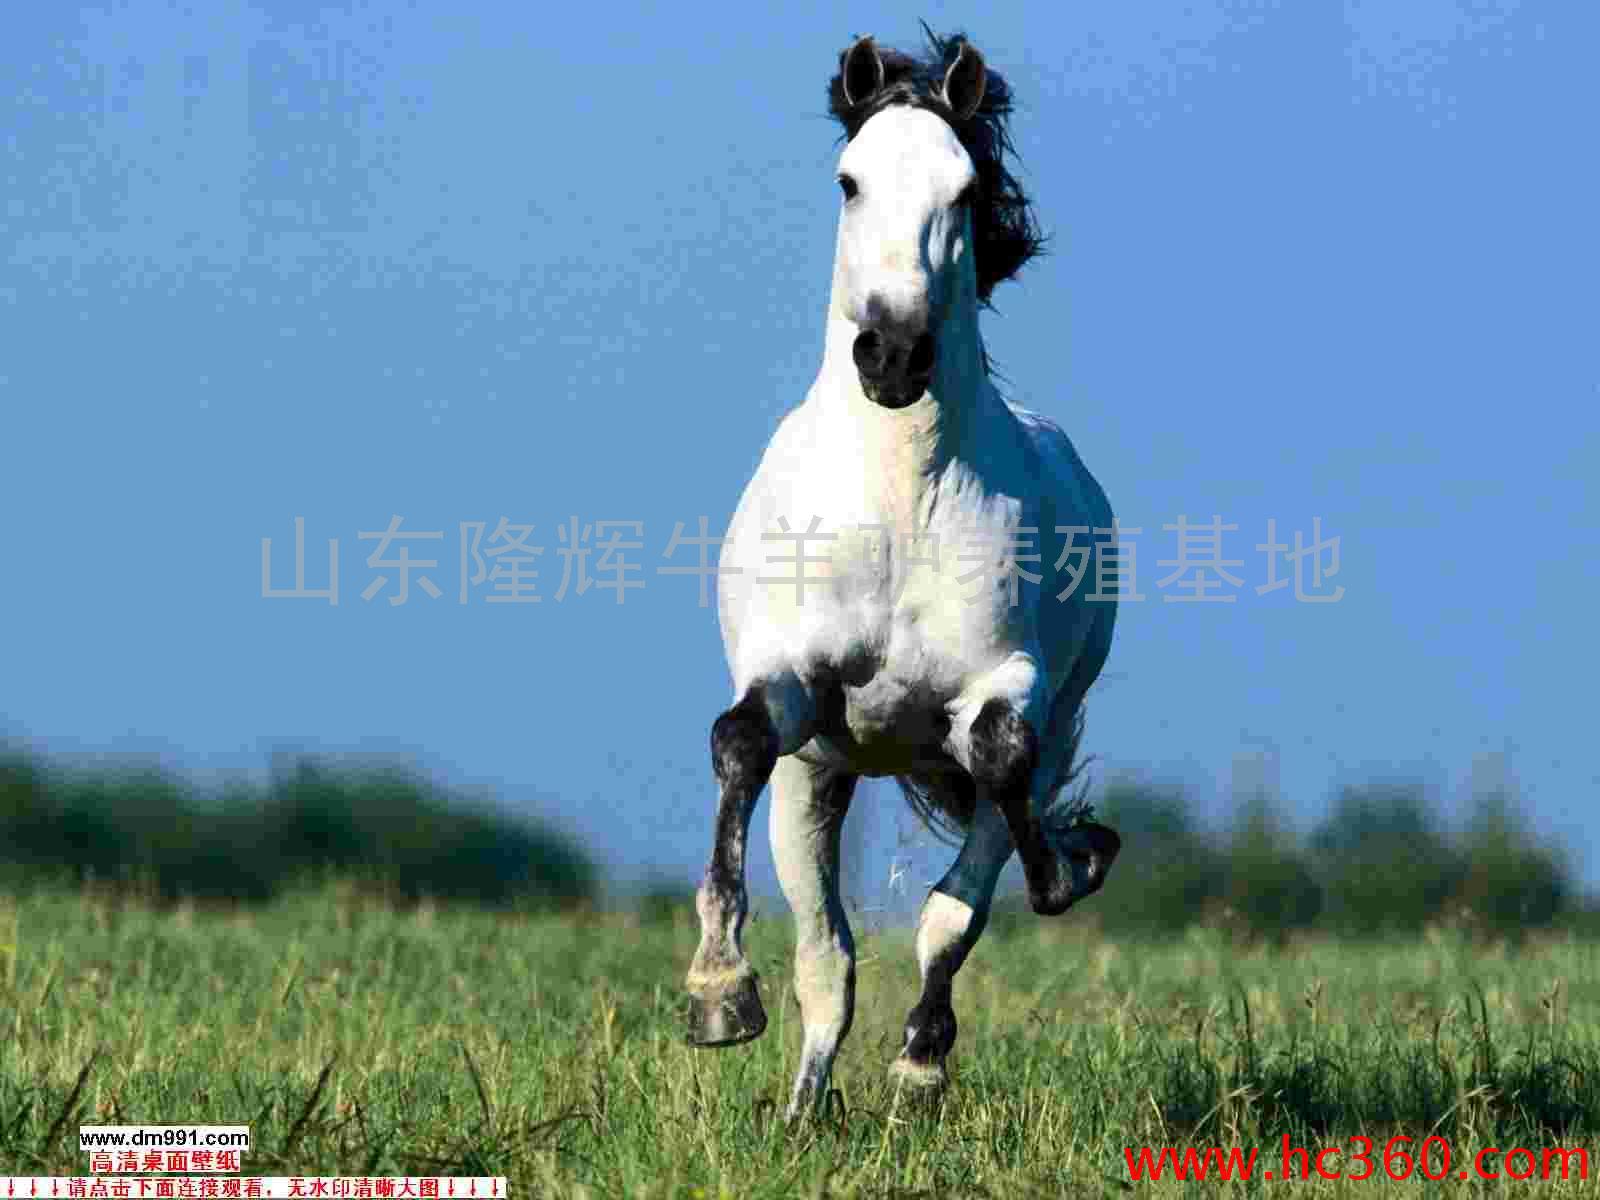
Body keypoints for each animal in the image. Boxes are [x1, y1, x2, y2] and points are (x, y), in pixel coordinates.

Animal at [683, 27, 1123, 1121]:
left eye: (964, 190)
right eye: (850, 181)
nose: (891, 352)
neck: (898, 496)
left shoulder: (1008, 689)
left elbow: (1000, 776)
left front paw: (1069, 869)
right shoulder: (791, 685)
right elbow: (736, 741)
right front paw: (716, 994)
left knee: (955, 896)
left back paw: (918, 1067)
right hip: (820, 779)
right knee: (825, 957)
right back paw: (801, 1110)